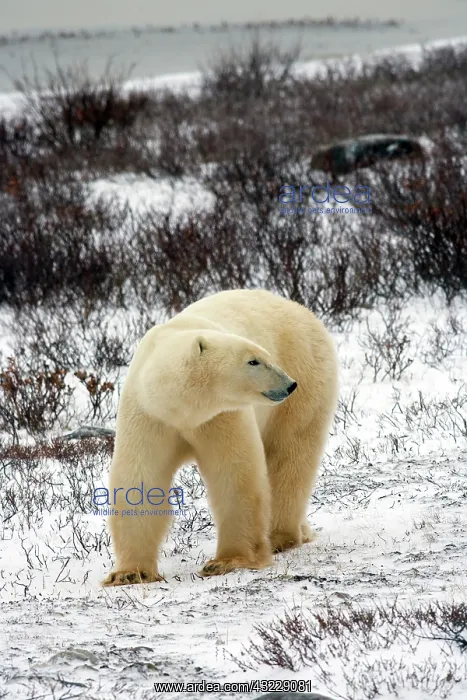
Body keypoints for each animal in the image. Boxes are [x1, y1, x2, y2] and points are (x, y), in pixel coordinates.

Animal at [103, 289, 338, 586]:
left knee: (290, 454)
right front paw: (130, 573)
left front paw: (226, 561)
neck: (182, 411)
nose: (289, 384)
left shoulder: (221, 416)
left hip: (306, 376)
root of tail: (302, 310)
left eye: (264, 356)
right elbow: (139, 478)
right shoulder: (150, 415)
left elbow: (234, 474)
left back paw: (279, 536)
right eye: (253, 360)